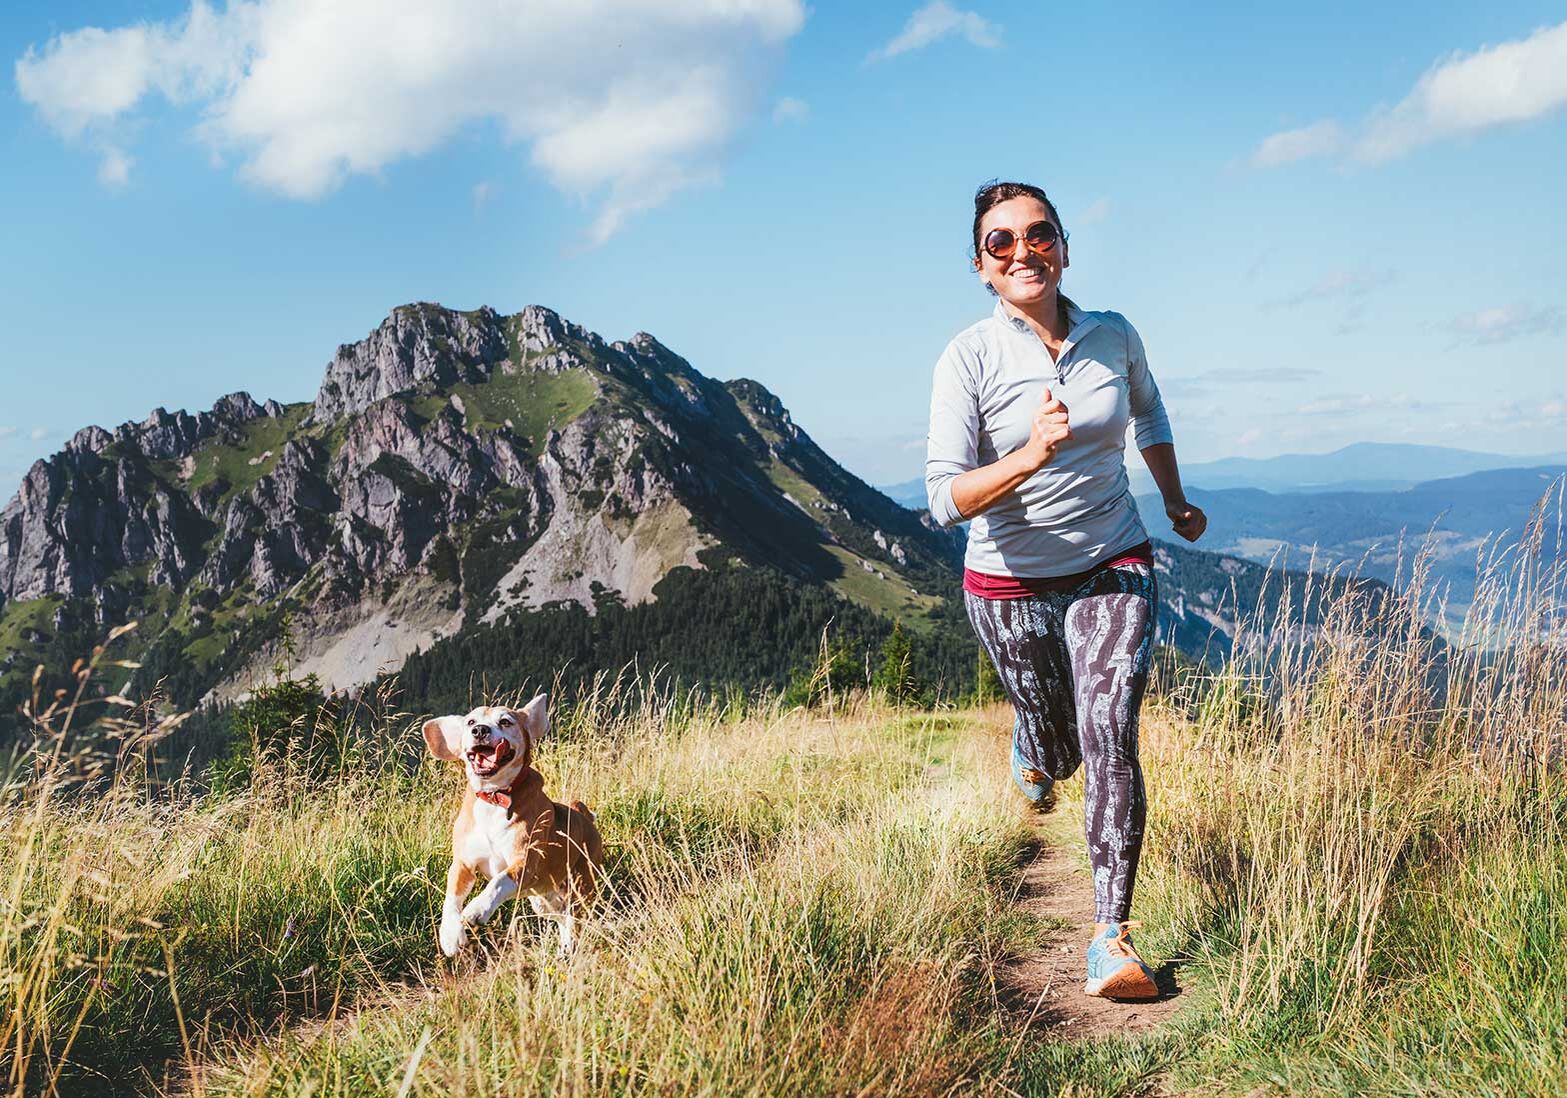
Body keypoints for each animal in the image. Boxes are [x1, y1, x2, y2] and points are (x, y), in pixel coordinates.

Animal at [423, 698, 604, 952]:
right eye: (470, 722)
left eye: (505, 721)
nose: (480, 730)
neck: (494, 797)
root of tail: (582, 813)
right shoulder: (463, 864)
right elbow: (451, 897)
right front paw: (450, 934)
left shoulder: (525, 862)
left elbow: (498, 881)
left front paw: (477, 909)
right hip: (543, 898)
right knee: (561, 915)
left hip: (581, 886)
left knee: (574, 916)